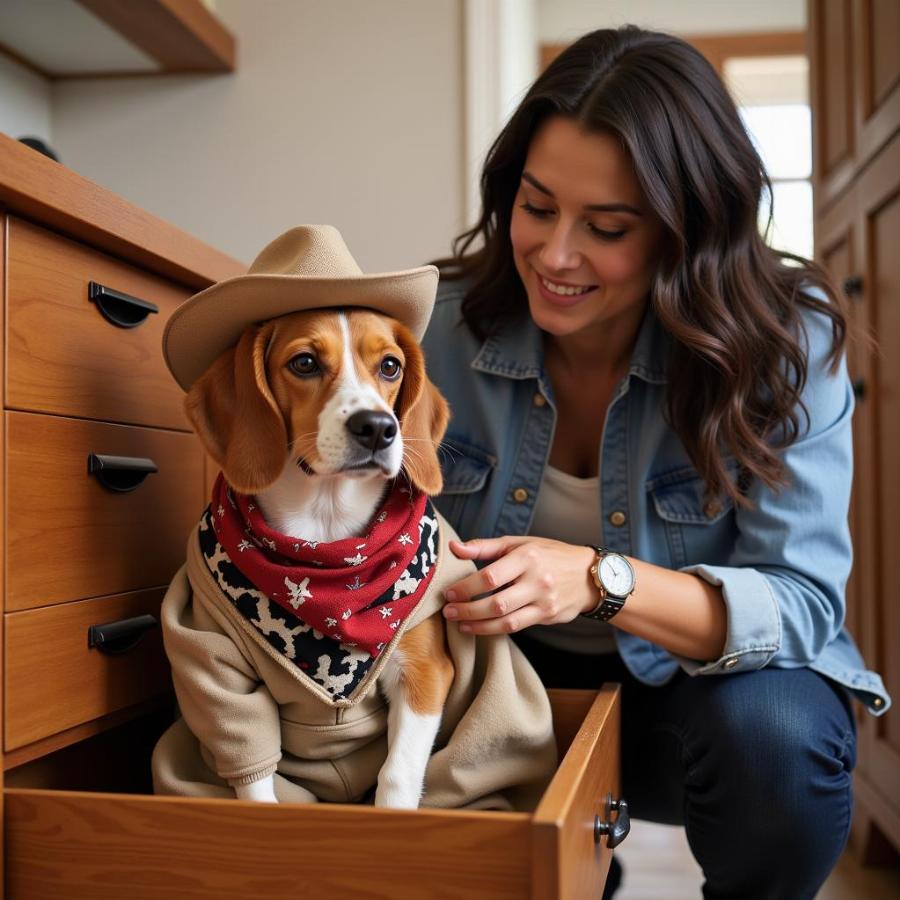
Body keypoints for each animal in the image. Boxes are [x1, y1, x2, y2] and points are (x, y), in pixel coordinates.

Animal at [188, 306, 458, 812]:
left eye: (389, 366)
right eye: (305, 363)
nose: (378, 427)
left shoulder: (423, 672)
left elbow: (397, 774)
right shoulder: (220, 677)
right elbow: (253, 775)